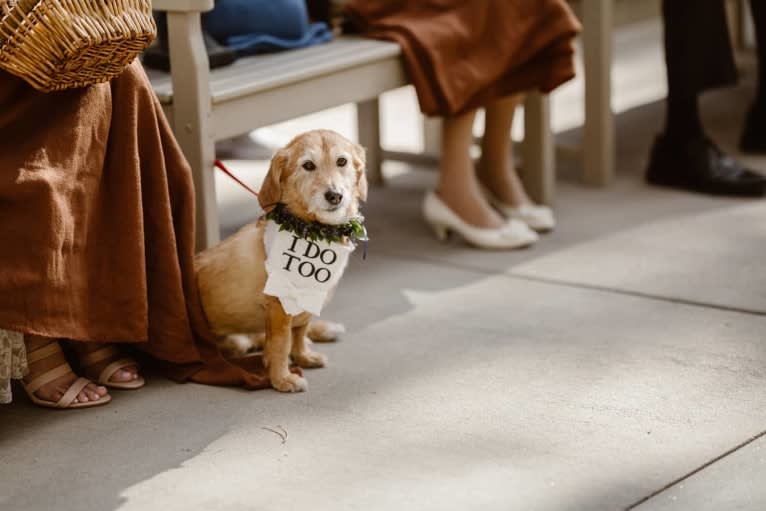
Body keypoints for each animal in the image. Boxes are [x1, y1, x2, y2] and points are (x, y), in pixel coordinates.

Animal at [196, 131, 368, 392]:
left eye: (342, 161)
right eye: (308, 165)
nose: (334, 196)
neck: (313, 232)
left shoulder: (306, 302)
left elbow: (299, 333)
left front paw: (303, 356)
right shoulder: (279, 309)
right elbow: (280, 344)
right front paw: (281, 378)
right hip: (233, 339)